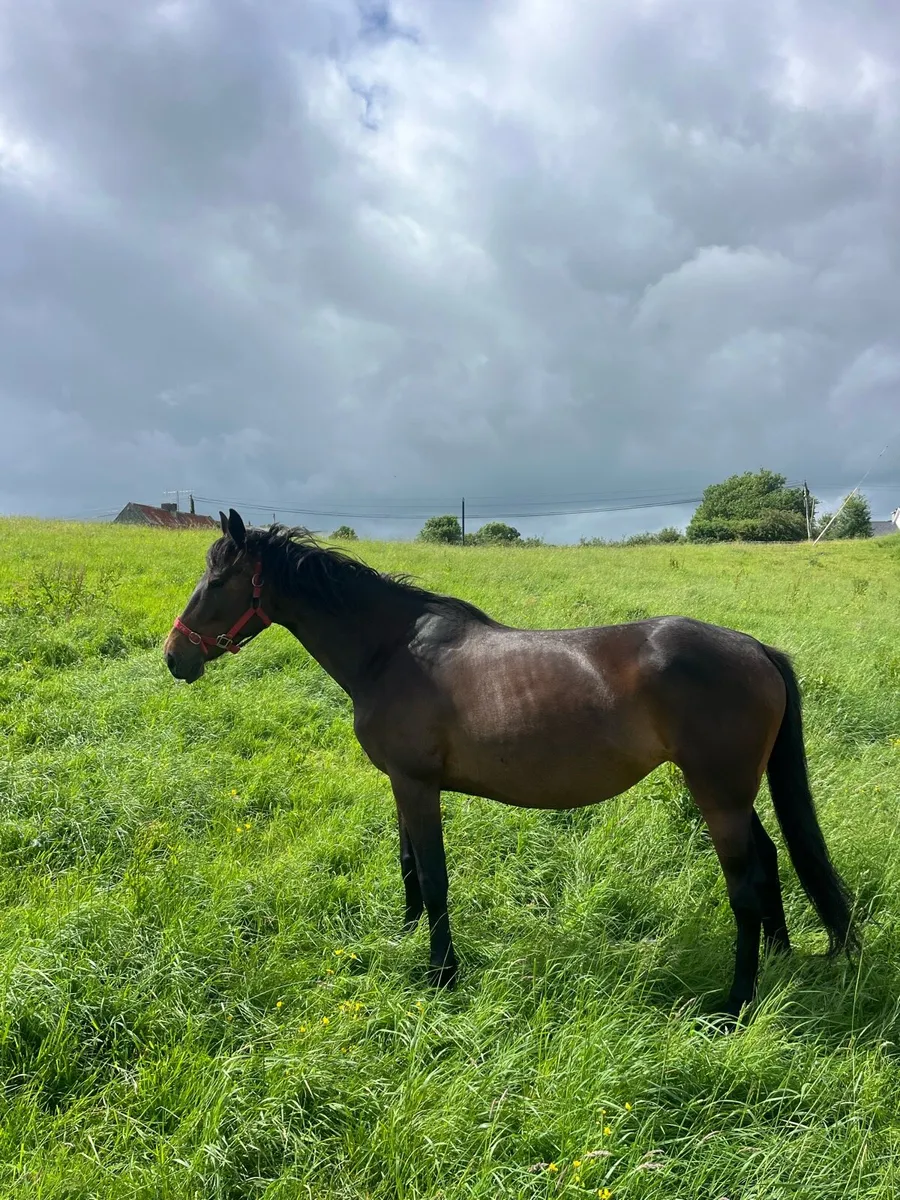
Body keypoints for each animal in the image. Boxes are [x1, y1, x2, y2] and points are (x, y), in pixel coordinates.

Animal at [164, 509, 858, 1018]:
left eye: (218, 582)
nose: (174, 657)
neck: (393, 649)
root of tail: (755, 648)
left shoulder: (418, 786)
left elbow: (434, 876)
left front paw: (442, 973)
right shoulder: (401, 785)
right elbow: (408, 864)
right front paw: (407, 937)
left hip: (718, 795)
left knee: (744, 884)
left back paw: (735, 1003)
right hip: (733, 795)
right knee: (768, 860)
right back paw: (779, 960)